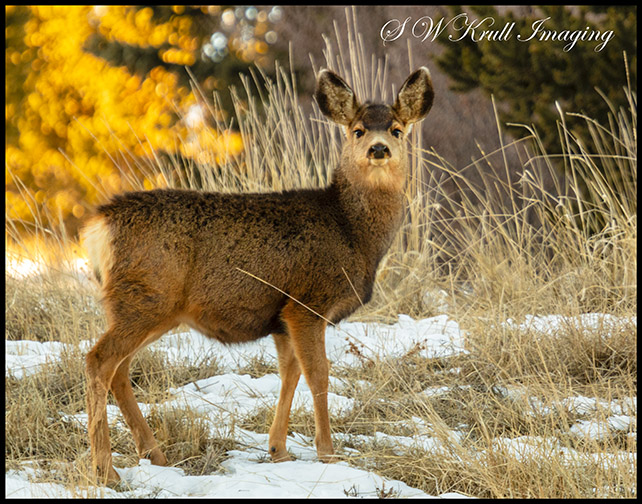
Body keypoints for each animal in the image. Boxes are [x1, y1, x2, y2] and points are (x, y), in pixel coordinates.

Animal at [81, 66, 434, 485]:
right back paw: (106, 471)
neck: (352, 231)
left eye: (397, 129)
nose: (378, 149)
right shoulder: (307, 303)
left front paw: (278, 450)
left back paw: (155, 456)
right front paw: (328, 454)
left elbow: (289, 374)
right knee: (99, 360)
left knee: (119, 369)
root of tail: (99, 225)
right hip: (147, 296)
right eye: (358, 130)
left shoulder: (282, 318)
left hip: (143, 306)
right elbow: (319, 374)